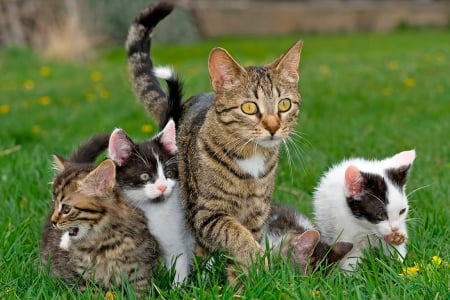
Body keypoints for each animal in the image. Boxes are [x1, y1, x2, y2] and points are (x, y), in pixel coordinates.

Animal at [40, 157, 159, 296]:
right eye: (54, 204)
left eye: (66, 209)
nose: (53, 221)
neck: (104, 240)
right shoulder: (82, 277)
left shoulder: (141, 269)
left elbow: (139, 292)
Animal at [109, 119, 195, 284]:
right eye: (145, 176)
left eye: (169, 173)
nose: (162, 186)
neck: (152, 209)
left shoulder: (175, 232)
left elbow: (178, 260)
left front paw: (179, 287)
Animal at [125, 1, 302, 282]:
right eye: (249, 107)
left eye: (284, 104)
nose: (273, 127)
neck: (250, 157)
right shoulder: (207, 213)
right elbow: (237, 236)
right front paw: (257, 264)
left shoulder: (257, 214)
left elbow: (240, 249)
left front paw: (244, 282)